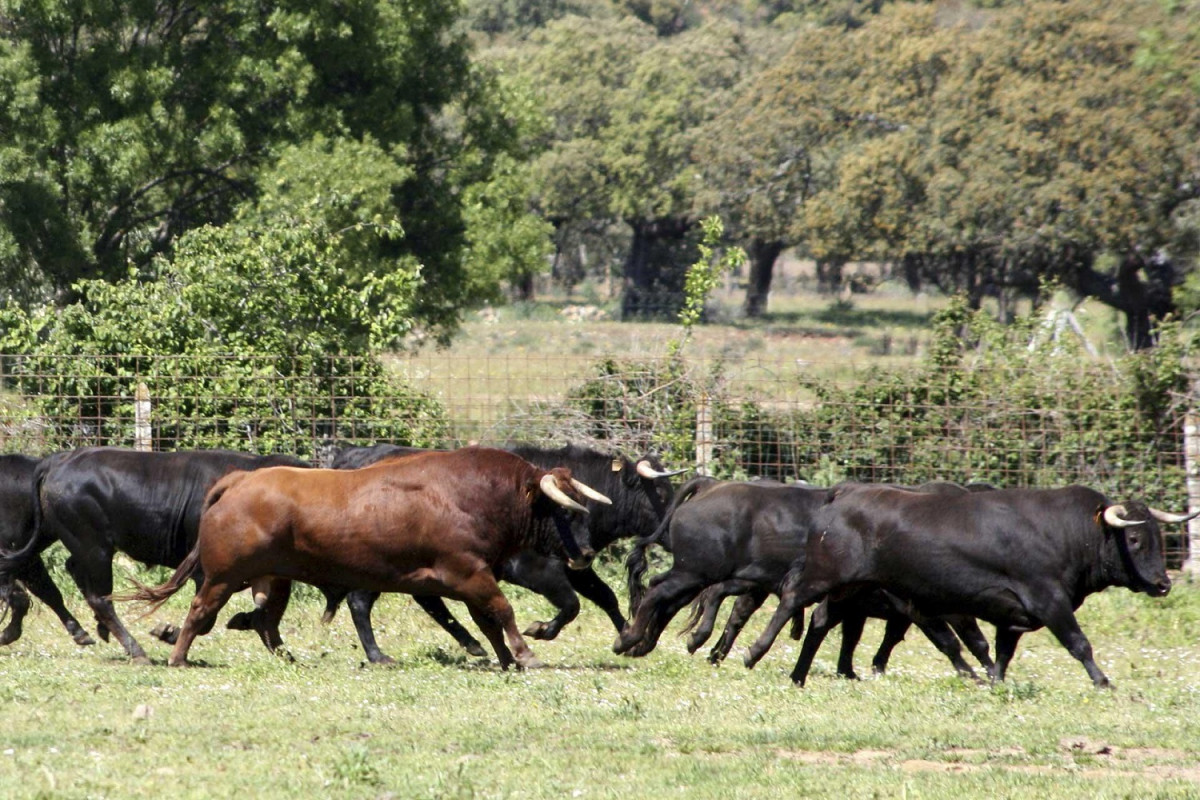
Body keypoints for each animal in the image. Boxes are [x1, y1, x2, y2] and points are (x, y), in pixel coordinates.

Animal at [131, 448, 609, 666]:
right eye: (566, 511)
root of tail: (239, 481)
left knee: (266, 621)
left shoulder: (472, 579)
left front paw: (507, 658)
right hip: (223, 577)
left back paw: (286, 658)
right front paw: (524, 654)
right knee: (200, 610)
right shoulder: (469, 575)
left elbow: (487, 620)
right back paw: (178, 656)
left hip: (275, 579)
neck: (472, 495)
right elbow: (501, 610)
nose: (586, 553)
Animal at [748, 482, 1190, 690]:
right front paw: (1102, 681)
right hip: (825, 576)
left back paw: (798, 675)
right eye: (1134, 538)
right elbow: (1079, 643)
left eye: (1157, 535)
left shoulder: (1012, 617)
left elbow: (1001, 654)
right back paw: (754, 653)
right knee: (791, 601)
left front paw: (995, 682)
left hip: (849, 589)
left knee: (820, 624)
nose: (1163, 583)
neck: (1067, 531)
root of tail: (844, 493)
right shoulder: (1048, 601)